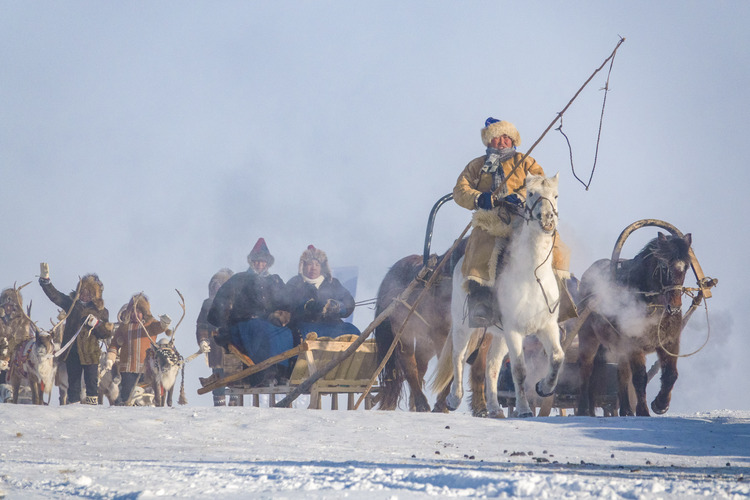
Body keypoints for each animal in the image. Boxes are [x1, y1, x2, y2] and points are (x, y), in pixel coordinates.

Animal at [374, 238, 488, 414]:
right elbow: (450, 368)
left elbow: (479, 372)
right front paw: (442, 405)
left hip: (424, 342)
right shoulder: (443, 336)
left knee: (420, 367)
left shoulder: (486, 337)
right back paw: (421, 404)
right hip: (404, 334)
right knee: (410, 365)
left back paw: (415, 404)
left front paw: (481, 408)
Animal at [580, 232, 696, 416]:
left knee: (622, 374)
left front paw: (660, 404)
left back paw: (626, 409)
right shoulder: (634, 344)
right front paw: (643, 410)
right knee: (586, 369)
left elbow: (671, 374)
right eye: (664, 267)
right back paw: (584, 409)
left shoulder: (670, 343)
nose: (675, 307)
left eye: (685, 267)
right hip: (588, 338)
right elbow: (640, 378)